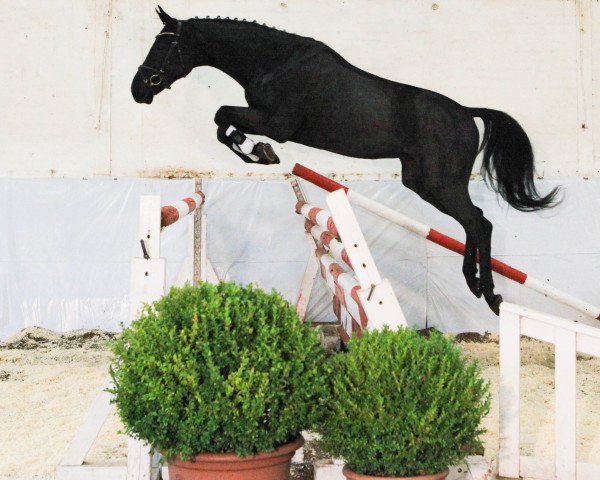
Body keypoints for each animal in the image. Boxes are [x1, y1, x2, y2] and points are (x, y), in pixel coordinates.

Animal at [131, 6, 556, 316]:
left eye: (162, 48)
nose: (138, 90)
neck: (274, 62)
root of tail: (467, 113)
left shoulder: (275, 122)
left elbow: (222, 117)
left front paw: (262, 152)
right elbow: (222, 124)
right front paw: (260, 153)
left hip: (441, 184)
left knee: (479, 222)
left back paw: (487, 292)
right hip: (422, 182)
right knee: (474, 223)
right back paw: (479, 287)